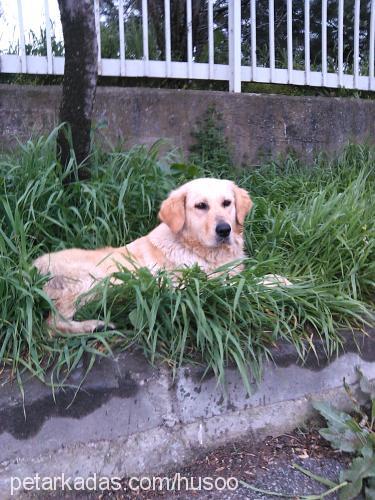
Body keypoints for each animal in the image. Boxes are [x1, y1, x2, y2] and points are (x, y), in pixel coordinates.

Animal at [33, 178, 254, 334]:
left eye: (227, 203)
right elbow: (249, 285)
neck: (194, 247)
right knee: (52, 325)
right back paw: (95, 325)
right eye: (201, 206)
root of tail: (32, 268)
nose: (224, 230)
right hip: (93, 280)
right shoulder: (190, 287)